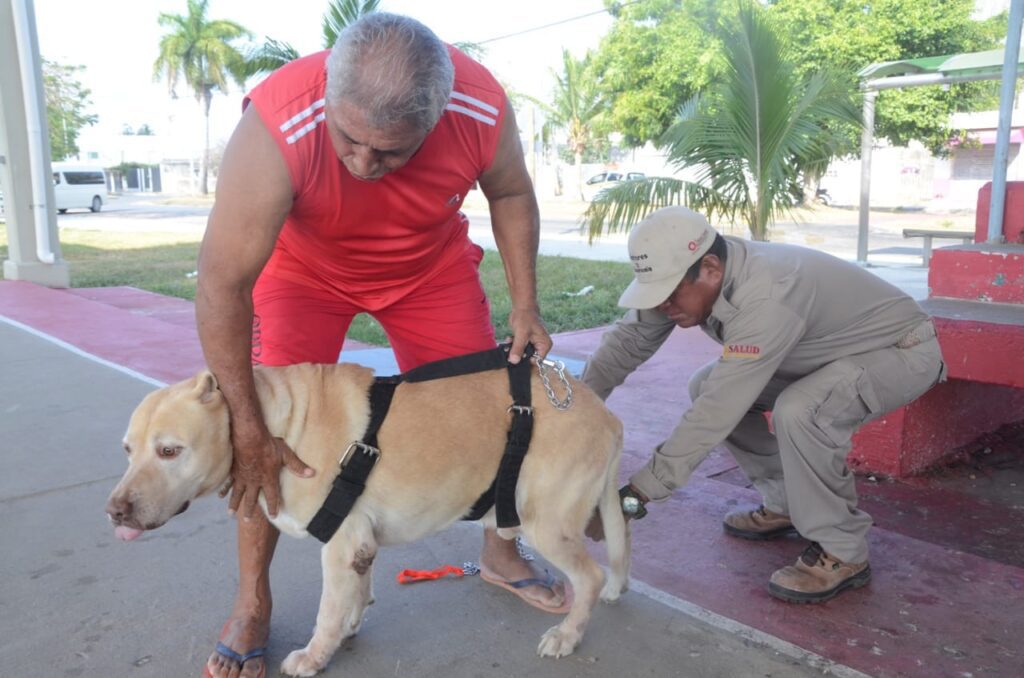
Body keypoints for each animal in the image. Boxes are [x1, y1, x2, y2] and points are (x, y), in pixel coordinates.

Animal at [108, 364, 626, 675]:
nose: (115, 511)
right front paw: (349, 625)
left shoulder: (340, 547)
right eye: (128, 450)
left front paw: (316, 655)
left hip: (546, 523)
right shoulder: (359, 544)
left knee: (591, 576)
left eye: (169, 451)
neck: (279, 426)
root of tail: (605, 413)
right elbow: (355, 595)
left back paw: (568, 634)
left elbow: (327, 611)